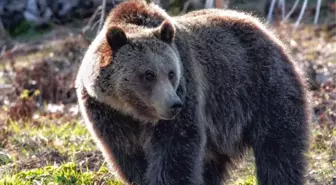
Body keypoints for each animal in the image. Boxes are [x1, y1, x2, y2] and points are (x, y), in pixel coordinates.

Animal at [76, 0, 310, 184]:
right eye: (148, 75)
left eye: (171, 73)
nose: (174, 104)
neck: (133, 111)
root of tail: (264, 28)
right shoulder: (107, 114)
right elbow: (128, 156)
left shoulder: (187, 93)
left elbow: (176, 149)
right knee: (213, 164)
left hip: (262, 87)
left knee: (278, 148)